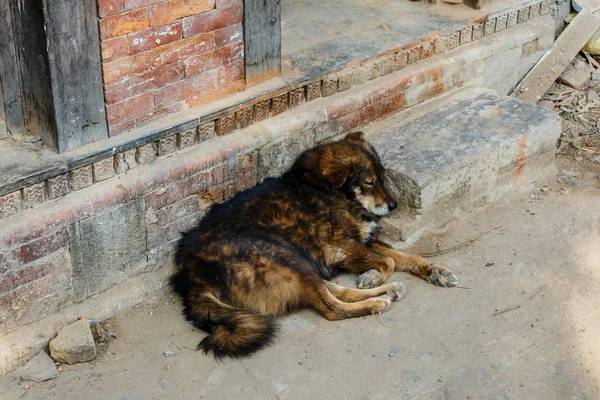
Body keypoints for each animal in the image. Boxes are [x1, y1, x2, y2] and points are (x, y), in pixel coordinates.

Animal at [170, 132, 460, 360]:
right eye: (369, 182)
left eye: (381, 178)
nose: (393, 205)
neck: (326, 190)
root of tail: (191, 275)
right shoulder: (340, 248)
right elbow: (388, 261)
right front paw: (372, 275)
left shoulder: (362, 241)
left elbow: (405, 256)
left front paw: (434, 271)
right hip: (285, 256)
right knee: (332, 308)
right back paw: (376, 302)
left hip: (298, 264)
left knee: (333, 291)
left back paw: (388, 291)